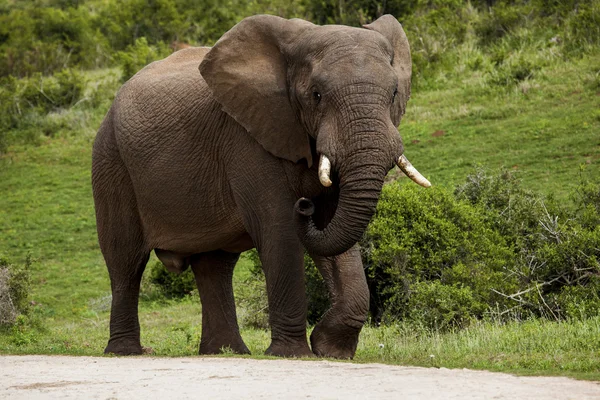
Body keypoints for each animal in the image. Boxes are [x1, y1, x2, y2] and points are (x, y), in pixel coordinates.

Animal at [91, 14, 428, 360]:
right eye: (317, 95)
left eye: (394, 94)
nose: (304, 204)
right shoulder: (247, 138)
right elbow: (280, 230)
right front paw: (292, 354)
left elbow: (334, 231)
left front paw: (331, 351)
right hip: (110, 160)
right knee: (125, 259)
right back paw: (126, 352)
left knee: (215, 264)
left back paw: (225, 352)